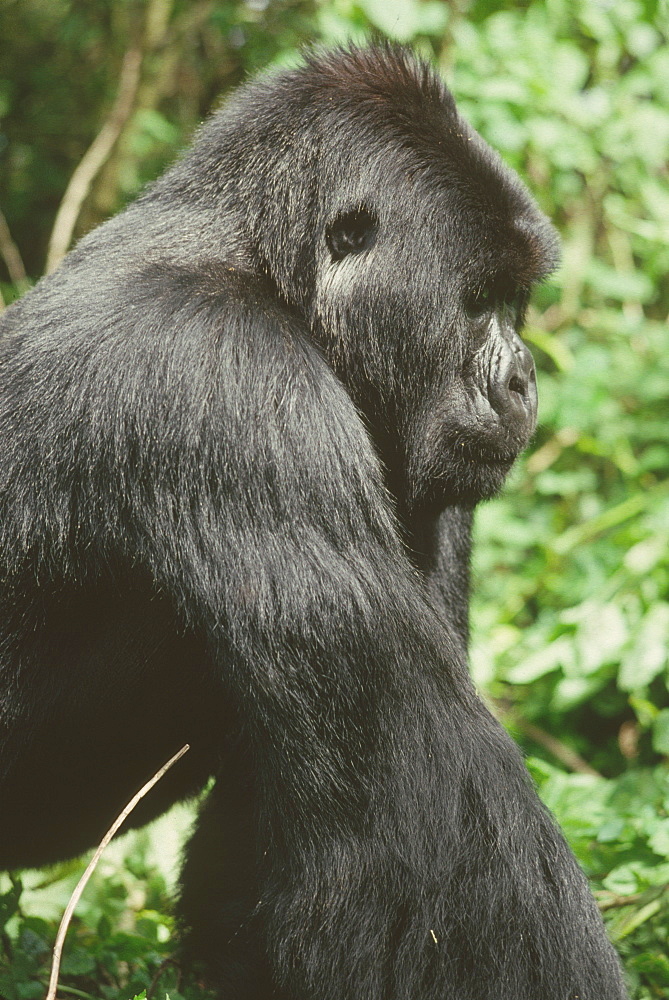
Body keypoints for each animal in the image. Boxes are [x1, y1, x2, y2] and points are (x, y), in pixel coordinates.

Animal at [0, 41, 628, 1000]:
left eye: (515, 302)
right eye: (478, 299)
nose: (521, 380)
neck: (263, 263)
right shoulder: (227, 376)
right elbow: (424, 810)